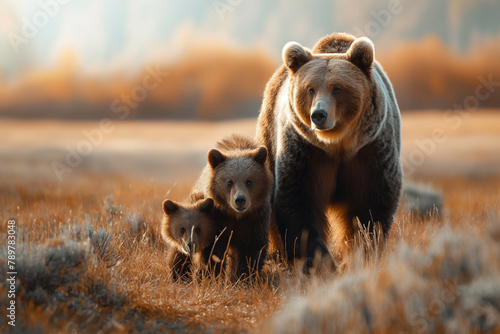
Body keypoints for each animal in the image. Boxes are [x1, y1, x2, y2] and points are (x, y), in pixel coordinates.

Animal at [258, 32, 402, 270]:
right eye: (310, 89)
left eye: (337, 88)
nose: (319, 114)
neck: (336, 144)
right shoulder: (305, 151)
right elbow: (298, 200)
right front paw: (320, 263)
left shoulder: (371, 150)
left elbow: (372, 205)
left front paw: (363, 252)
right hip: (268, 139)